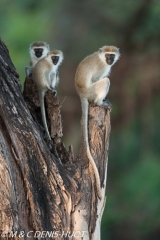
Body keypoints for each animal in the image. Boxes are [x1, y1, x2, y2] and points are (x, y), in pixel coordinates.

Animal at [75, 46, 120, 200]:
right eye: (107, 55)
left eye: (112, 55)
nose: (110, 60)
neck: (101, 59)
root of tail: (81, 93)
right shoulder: (101, 68)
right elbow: (97, 78)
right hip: (92, 91)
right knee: (105, 81)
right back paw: (100, 102)